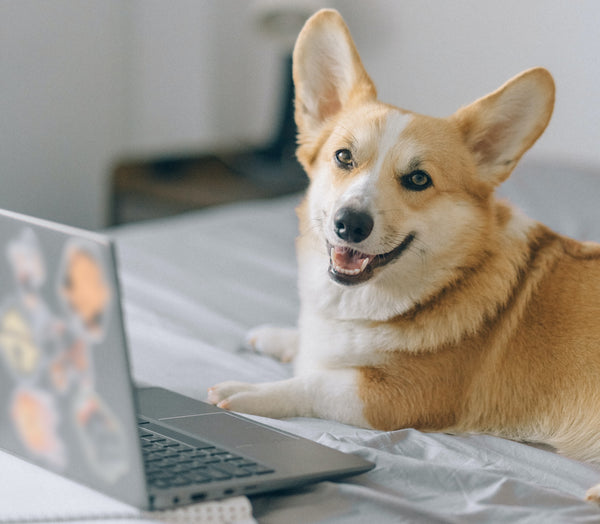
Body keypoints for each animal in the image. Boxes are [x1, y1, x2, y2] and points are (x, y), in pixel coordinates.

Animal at [207, 8, 600, 500]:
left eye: (417, 180)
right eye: (343, 157)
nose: (350, 223)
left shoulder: (396, 397)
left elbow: (315, 381)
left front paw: (249, 392)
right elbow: (310, 346)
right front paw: (277, 337)